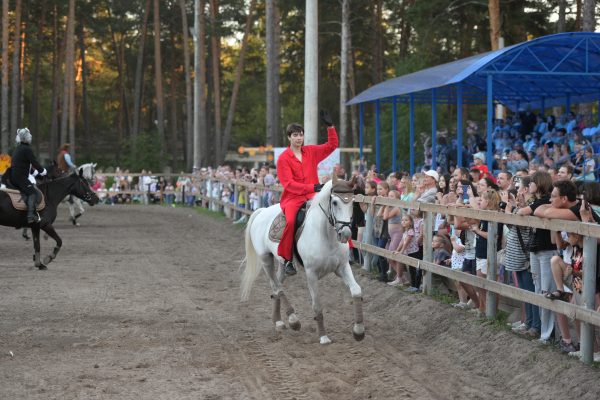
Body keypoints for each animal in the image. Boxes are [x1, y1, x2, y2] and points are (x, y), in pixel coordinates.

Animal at [240, 177, 366, 346]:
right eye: (334, 202)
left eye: (352, 201)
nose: (345, 234)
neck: (326, 235)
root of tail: (262, 211)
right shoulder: (311, 273)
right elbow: (317, 305)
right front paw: (323, 337)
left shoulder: (342, 267)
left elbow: (356, 291)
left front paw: (358, 331)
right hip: (266, 259)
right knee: (277, 287)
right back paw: (293, 320)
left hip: (282, 263)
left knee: (277, 287)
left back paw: (279, 321)